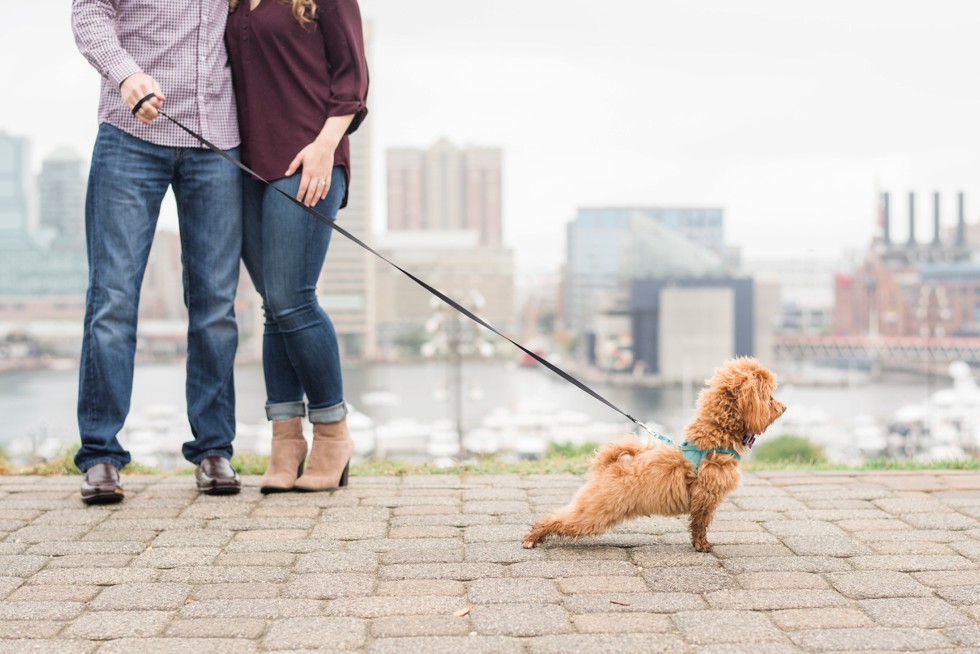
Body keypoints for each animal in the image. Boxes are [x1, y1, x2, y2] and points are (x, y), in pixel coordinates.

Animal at [520, 358, 788, 552]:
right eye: (769, 396)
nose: (784, 407)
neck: (716, 436)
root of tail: (608, 467)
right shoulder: (705, 497)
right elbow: (700, 524)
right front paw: (702, 546)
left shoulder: (704, 499)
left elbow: (698, 524)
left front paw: (700, 544)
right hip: (594, 513)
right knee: (557, 519)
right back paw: (532, 537)